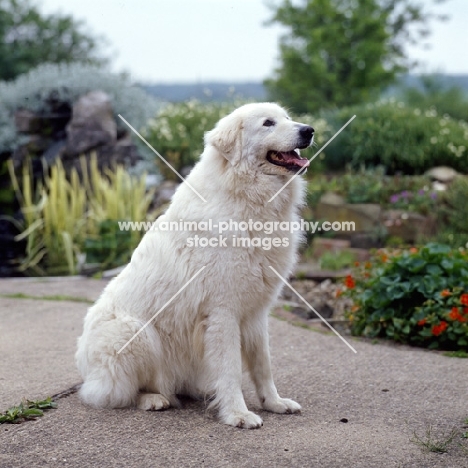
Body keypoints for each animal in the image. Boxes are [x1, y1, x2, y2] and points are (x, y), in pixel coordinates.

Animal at [76, 102, 314, 428]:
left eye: (288, 119)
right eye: (268, 123)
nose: (309, 130)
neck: (246, 198)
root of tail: (86, 370)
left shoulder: (255, 313)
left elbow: (263, 365)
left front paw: (274, 403)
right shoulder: (223, 312)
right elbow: (230, 369)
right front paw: (238, 414)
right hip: (135, 333)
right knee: (117, 393)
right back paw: (153, 399)